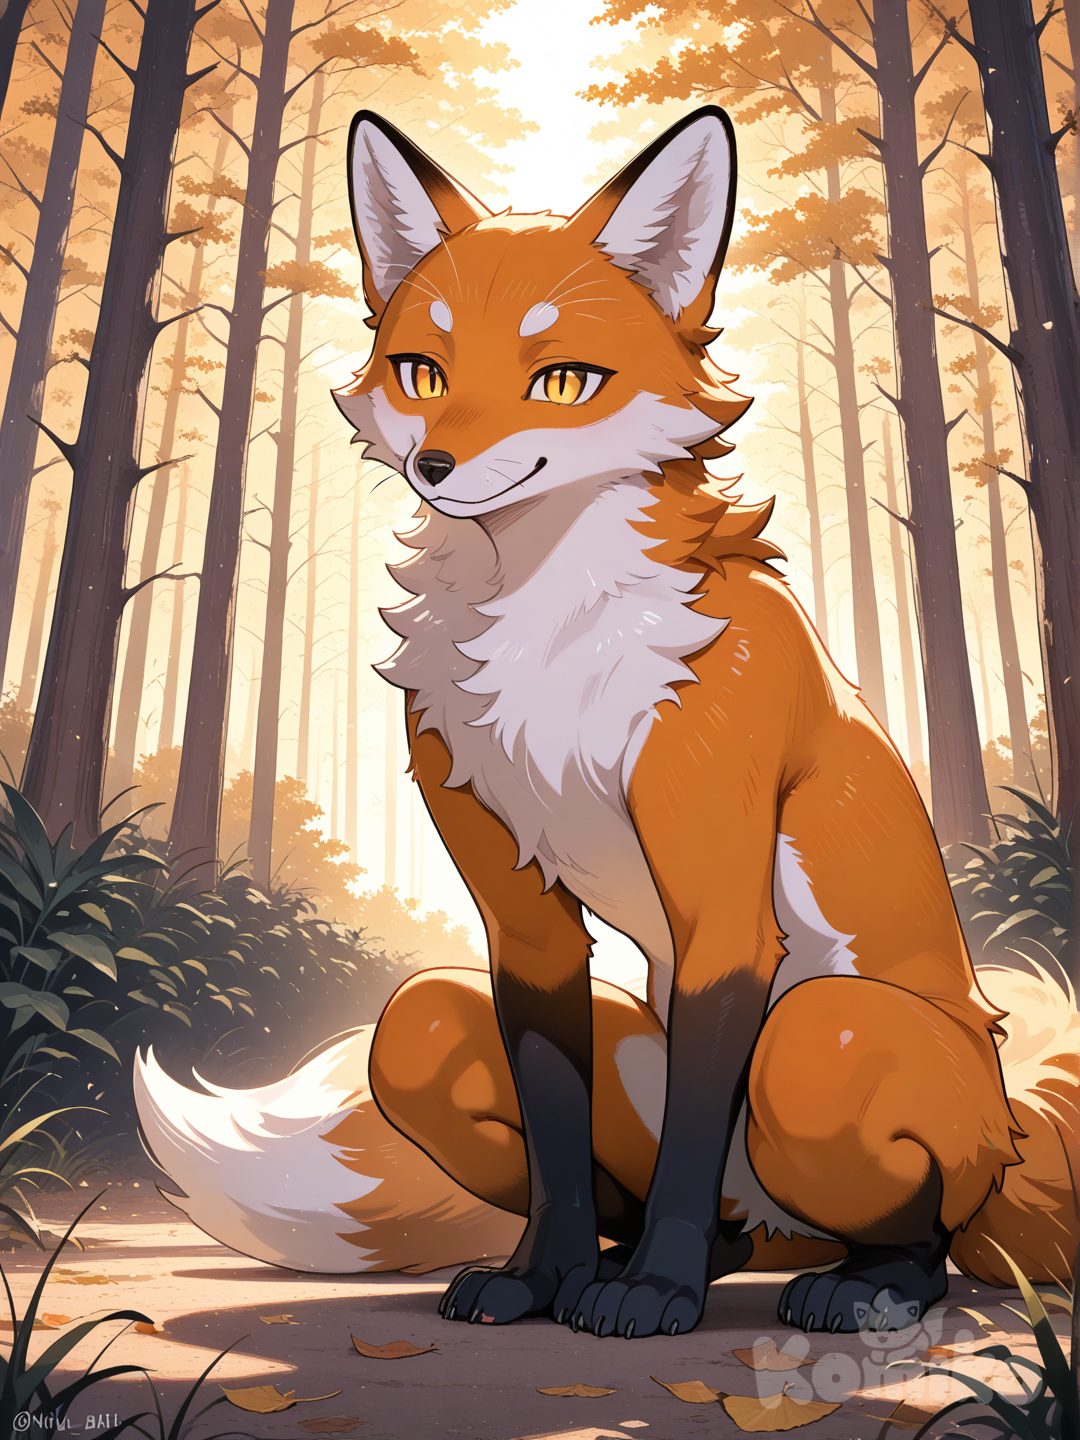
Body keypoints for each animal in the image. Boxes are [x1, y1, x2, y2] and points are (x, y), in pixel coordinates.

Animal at [136, 107, 1080, 1339]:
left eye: (564, 380)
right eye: (423, 372)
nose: (437, 463)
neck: (546, 650)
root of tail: (1015, 1121)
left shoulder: (725, 917)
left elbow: (686, 1141)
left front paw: (660, 1295)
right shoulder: (525, 928)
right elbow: (555, 1140)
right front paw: (541, 1278)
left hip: (821, 1043)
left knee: (914, 1223)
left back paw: (854, 1285)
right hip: (435, 1032)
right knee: (558, 1116)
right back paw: (646, 1261)